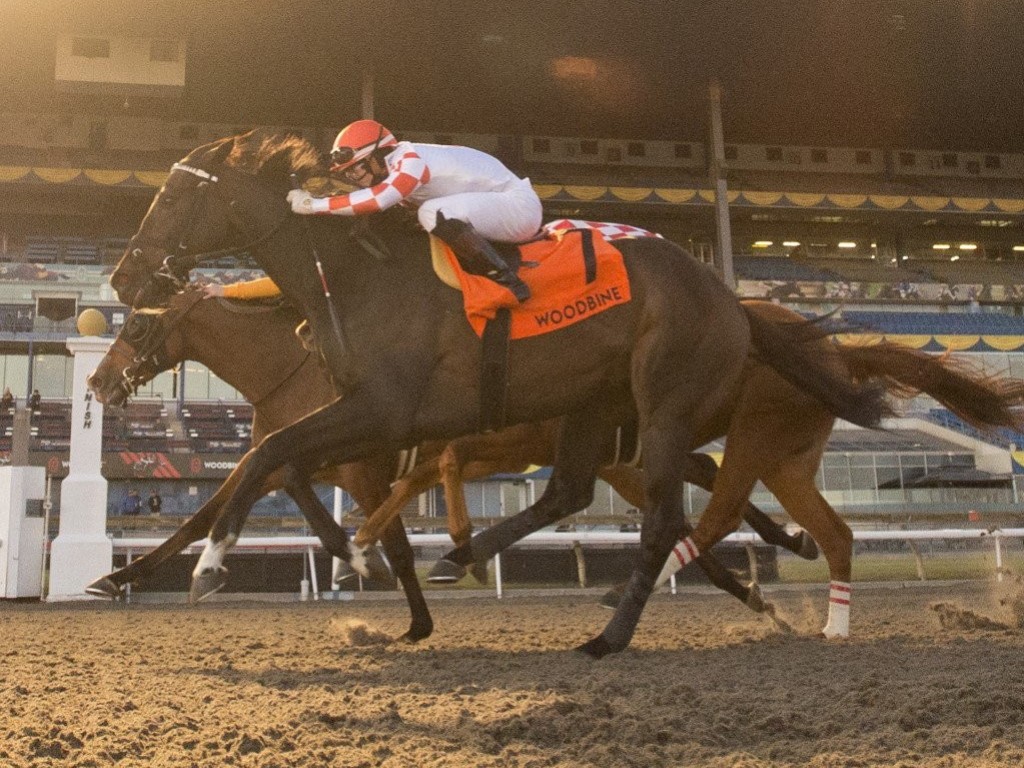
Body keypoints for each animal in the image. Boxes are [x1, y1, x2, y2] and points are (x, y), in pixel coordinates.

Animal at [108, 129, 884, 659]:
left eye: (176, 195)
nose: (123, 276)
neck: (356, 280)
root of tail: (729, 296)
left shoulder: (381, 413)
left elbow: (268, 458)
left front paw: (212, 567)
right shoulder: (375, 428)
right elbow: (272, 466)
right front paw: (360, 559)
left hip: (664, 405)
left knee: (669, 519)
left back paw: (610, 634)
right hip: (596, 409)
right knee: (578, 492)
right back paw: (464, 557)